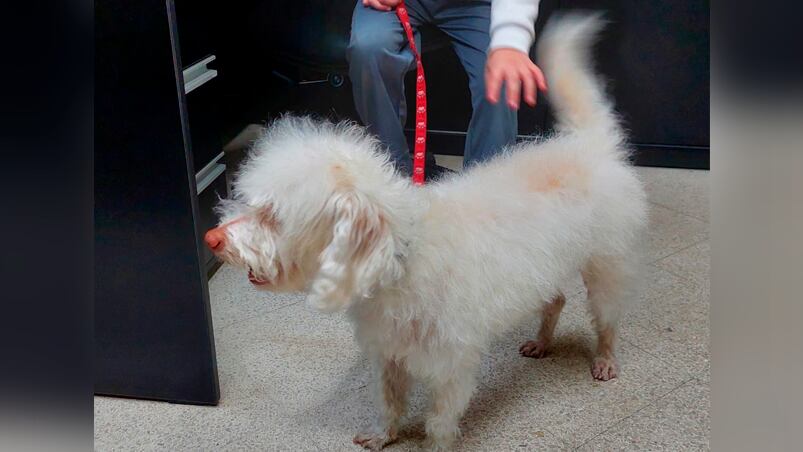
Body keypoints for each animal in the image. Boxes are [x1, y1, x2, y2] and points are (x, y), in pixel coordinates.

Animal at [206, 14, 648, 452]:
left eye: (272, 215)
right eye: (248, 201)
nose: (212, 239)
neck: (399, 260)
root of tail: (587, 144)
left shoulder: (452, 366)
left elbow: (439, 421)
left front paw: (434, 445)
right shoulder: (387, 353)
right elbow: (388, 401)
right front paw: (384, 434)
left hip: (606, 271)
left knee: (606, 320)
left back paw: (605, 358)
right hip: (545, 269)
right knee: (555, 300)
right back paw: (541, 342)